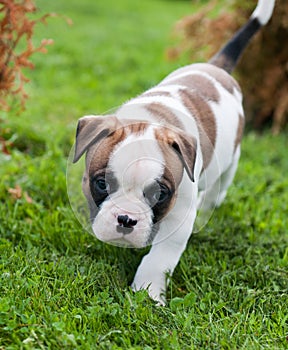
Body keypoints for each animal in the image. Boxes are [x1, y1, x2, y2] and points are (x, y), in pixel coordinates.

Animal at [72, 0, 274, 304]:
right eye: (101, 183)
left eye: (160, 194)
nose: (126, 219)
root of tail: (216, 67)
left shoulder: (178, 216)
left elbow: (160, 257)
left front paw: (148, 291)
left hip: (231, 160)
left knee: (218, 188)